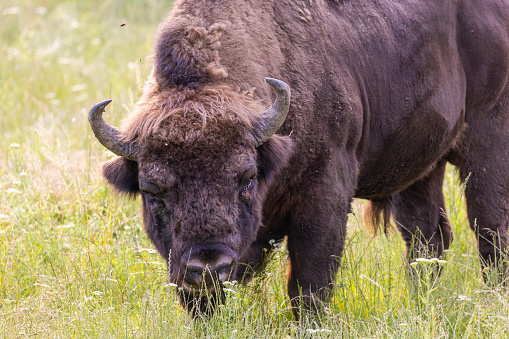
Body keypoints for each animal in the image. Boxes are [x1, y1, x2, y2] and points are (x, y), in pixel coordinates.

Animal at [89, 0, 508, 318]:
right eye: (152, 192)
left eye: (246, 178)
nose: (208, 267)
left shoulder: (324, 198)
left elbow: (310, 284)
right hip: (421, 167)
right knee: (427, 237)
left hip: (488, 139)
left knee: (490, 228)